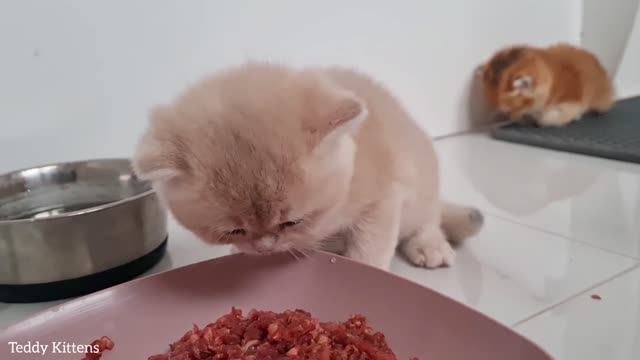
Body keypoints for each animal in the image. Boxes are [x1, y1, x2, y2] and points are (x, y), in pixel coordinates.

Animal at [132, 62, 482, 270]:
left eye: (292, 222)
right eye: (234, 230)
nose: (265, 247)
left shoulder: (383, 200)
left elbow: (370, 249)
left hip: (421, 181)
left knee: (430, 216)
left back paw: (430, 244)